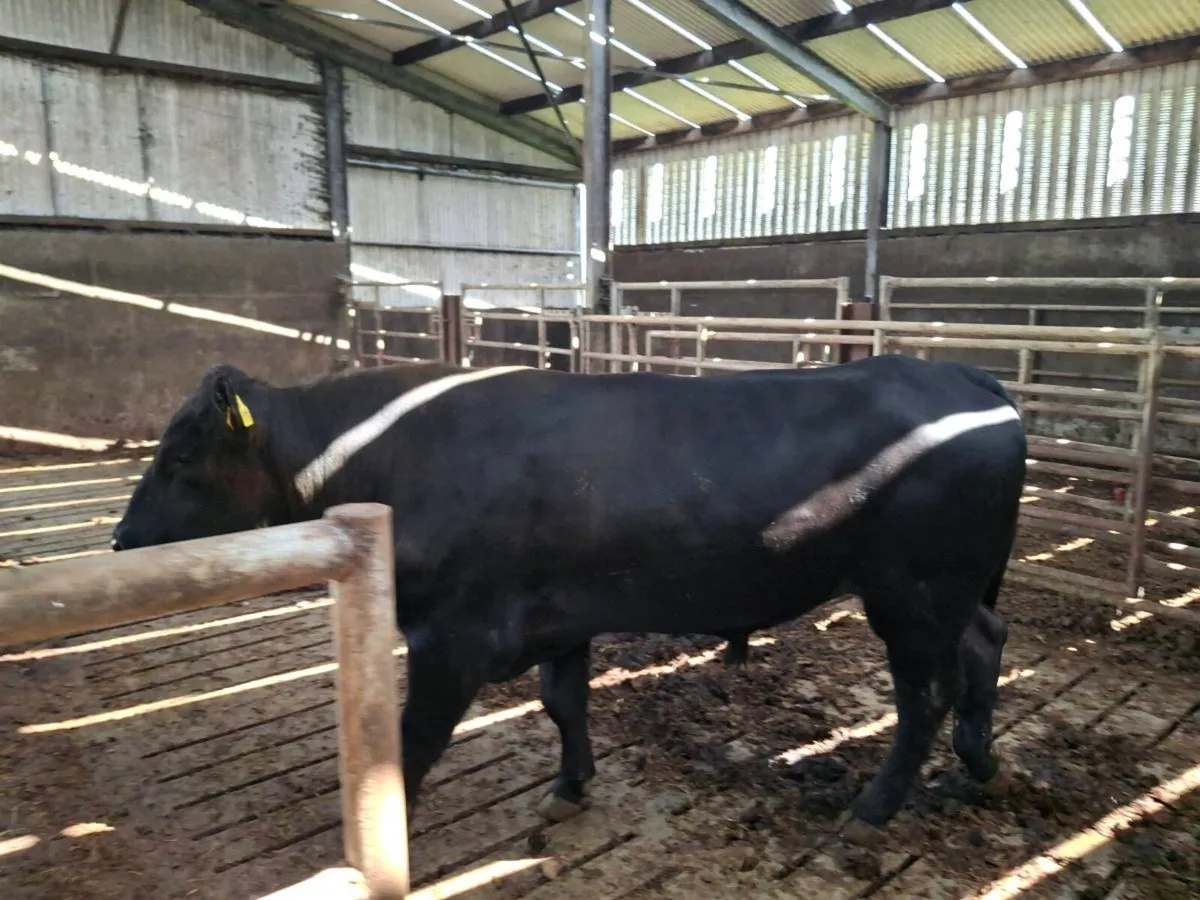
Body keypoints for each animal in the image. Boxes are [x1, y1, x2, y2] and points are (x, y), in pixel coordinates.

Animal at [111, 354, 1025, 832]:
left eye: (181, 458)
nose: (120, 541)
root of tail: (958, 373)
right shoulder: (559, 616)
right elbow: (563, 702)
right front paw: (571, 786)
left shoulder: (455, 637)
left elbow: (412, 744)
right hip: (951, 592)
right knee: (986, 646)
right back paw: (978, 763)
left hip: (913, 593)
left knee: (925, 694)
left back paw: (875, 804)